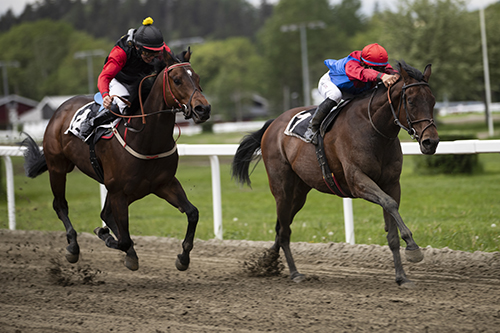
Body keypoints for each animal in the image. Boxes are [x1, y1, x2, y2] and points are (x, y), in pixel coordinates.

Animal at [21, 50, 209, 272]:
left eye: (197, 78)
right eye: (177, 80)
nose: (203, 109)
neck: (146, 140)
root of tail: (61, 109)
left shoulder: (164, 184)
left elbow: (193, 213)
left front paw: (183, 257)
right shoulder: (119, 191)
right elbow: (124, 238)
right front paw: (108, 237)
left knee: (105, 214)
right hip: (58, 168)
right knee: (60, 205)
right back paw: (73, 246)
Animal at [232, 61, 440, 284]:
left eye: (433, 100)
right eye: (410, 101)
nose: (431, 142)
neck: (373, 128)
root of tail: (273, 124)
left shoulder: (392, 183)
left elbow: (391, 220)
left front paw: (401, 276)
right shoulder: (357, 181)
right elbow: (389, 203)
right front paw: (413, 247)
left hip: (299, 192)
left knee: (281, 227)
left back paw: (268, 261)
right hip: (282, 189)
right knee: (285, 230)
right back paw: (294, 273)